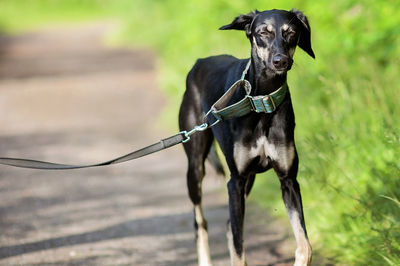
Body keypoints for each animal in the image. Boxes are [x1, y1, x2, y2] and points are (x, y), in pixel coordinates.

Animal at [180, 8, 314, 266]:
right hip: (196, 168)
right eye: (263, 32)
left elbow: (305, 246)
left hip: (249, 179)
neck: (262, 103)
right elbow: (238, 244)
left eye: (291, 32)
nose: (280, 61)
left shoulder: (288, 181)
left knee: (227, 225)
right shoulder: (235, 181)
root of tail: (199, 63)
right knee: (201, 222)